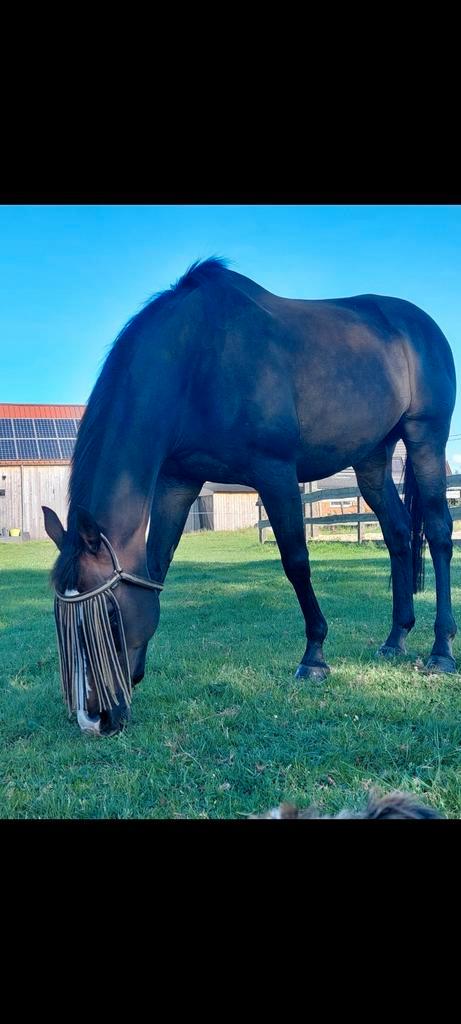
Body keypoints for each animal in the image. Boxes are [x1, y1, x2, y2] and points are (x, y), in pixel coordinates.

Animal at [43, 257, 457, 736]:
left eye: (110, 615)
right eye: (58, 619)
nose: (95, 718)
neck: (196, 362)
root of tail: (420, 324)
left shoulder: (275, 473)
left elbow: (296, 563)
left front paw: (314, 657)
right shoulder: (177, 483)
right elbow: (157, 565)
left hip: (426, 438)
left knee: (439, 533)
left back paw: (442, 648)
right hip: (372, 459)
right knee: (398, 534)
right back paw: (396, 638)